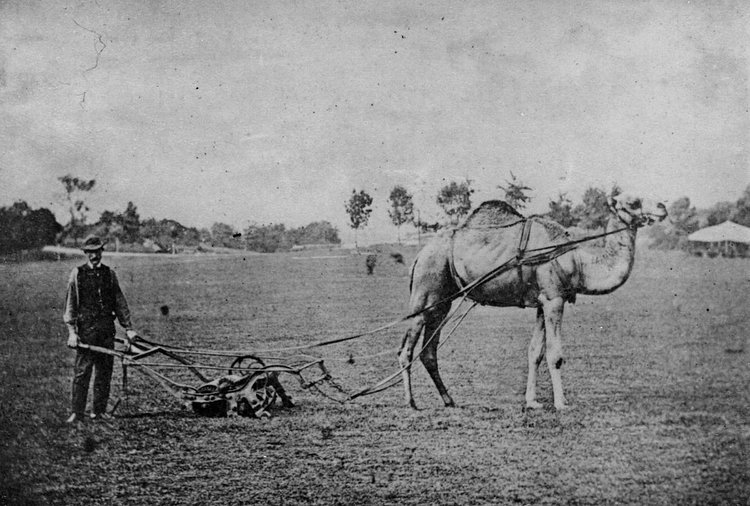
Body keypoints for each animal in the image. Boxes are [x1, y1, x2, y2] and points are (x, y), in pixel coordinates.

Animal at [399, 192, 667, 410]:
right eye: (633, 202)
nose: (663, 206)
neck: (577, 261)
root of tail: (419, 255)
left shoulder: (541, 303)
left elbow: (534, 352)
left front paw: (532, 402)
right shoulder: (554, 299)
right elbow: (555, 354)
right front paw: (561, 404)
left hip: (442, 303)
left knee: (429, 351)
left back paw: (449, 400)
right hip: (426, 291)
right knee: (406, 349)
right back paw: (411, 402)